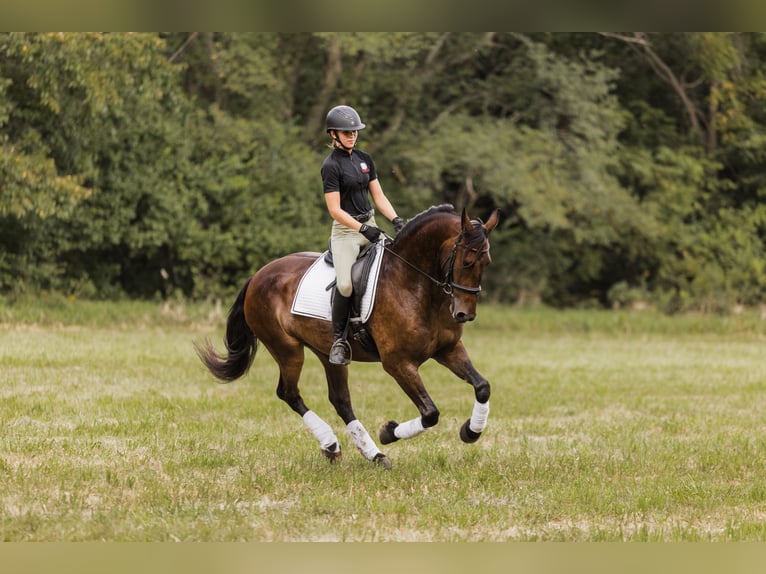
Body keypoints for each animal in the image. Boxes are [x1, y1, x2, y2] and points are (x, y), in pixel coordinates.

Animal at [195, 204, 500, 469]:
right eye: (467, 261)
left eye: (487, 262)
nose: (464, 314)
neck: (414, 284)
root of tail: (258, 274)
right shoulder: (398, 363)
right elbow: (430, 413)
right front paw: (388, 432)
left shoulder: (448, 349)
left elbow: (482, 386)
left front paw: (471, 432)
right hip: (287, 349)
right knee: (289, 393)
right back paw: (333, 444)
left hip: (328, 353)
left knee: (340, 400)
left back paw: (373, 455)